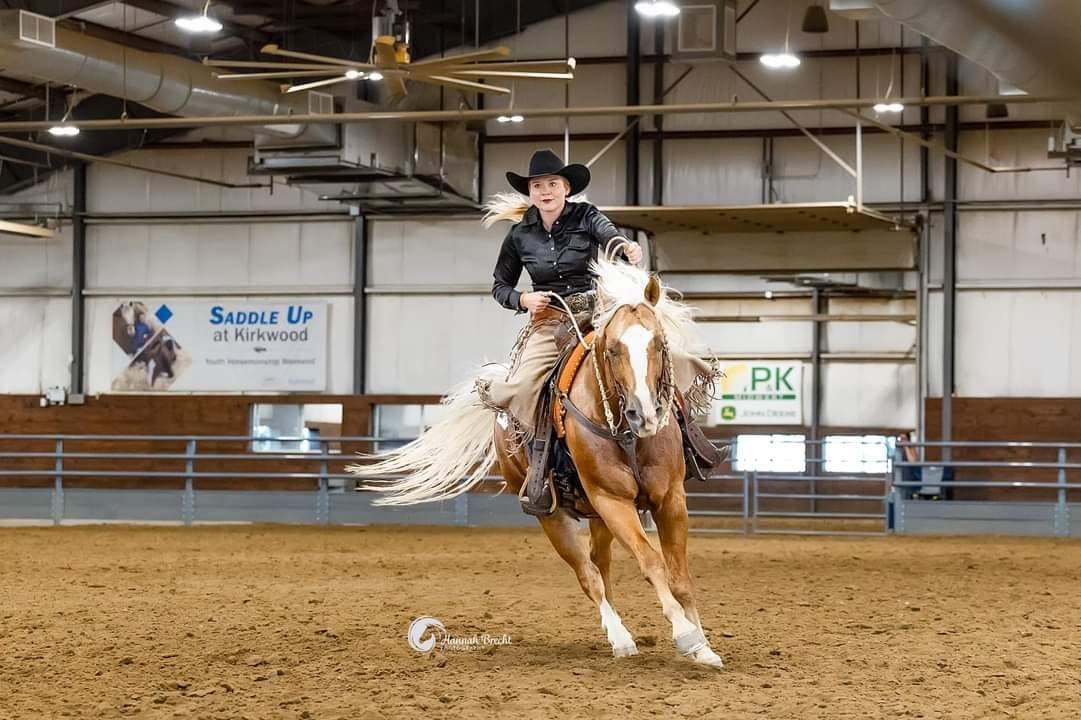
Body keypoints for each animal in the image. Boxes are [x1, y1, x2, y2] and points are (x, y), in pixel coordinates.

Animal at [349, 257, 724, 669]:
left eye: (658, 342)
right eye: (612, 349)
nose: (645, 415)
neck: (626, 433)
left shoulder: (670, 498)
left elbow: (679, 576)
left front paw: (705, 646)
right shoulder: (612, 501)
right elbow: (652, 563)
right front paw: (686, 635)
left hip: (596, 513)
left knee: (600, 564)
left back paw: (620, 635)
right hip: (553, 514)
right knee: (588, 573)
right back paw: (620, 637)